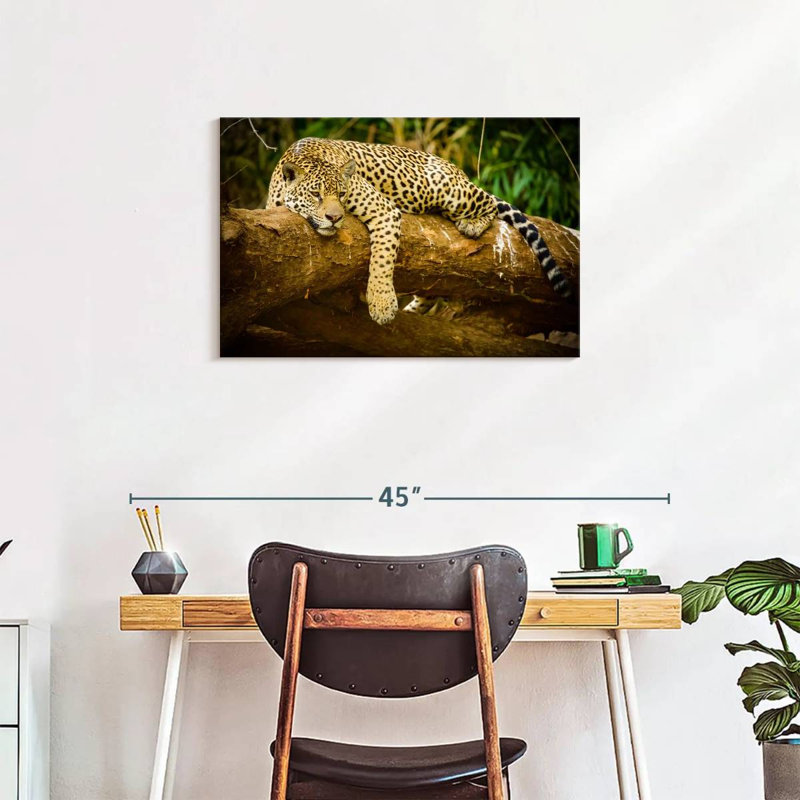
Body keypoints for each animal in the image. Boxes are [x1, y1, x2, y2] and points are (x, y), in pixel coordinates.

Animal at [266, 138, 573, 325]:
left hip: (449, 190)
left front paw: (382, 304)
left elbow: (381, 260)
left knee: (487, 199)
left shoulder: (384, 210)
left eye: (341, 194)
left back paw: (472, 223)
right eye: (316, 195)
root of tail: (455, 168)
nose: (335, 217)